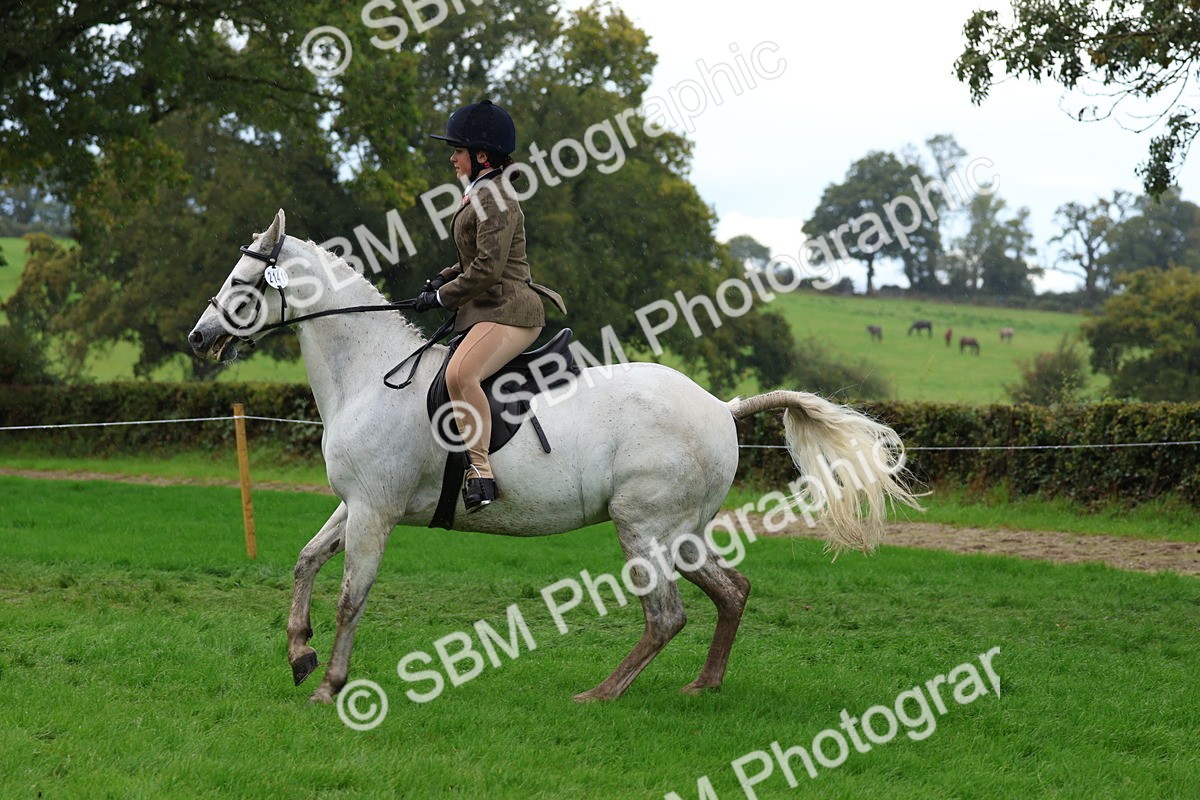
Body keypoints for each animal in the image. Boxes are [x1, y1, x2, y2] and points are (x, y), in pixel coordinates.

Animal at [188, 211, 920, 706]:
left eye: (243, 280)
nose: (198, 338)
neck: (368, 373)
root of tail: (721, 408)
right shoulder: (357, 504)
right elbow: (306, 561)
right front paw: (299, 653)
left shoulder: (374, 510)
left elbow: (350, 596)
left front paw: (330, 684)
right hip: (679, 534)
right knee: (730, 592)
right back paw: (702, 685)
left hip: (643, 528)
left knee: (668, 615)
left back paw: (601, 694)